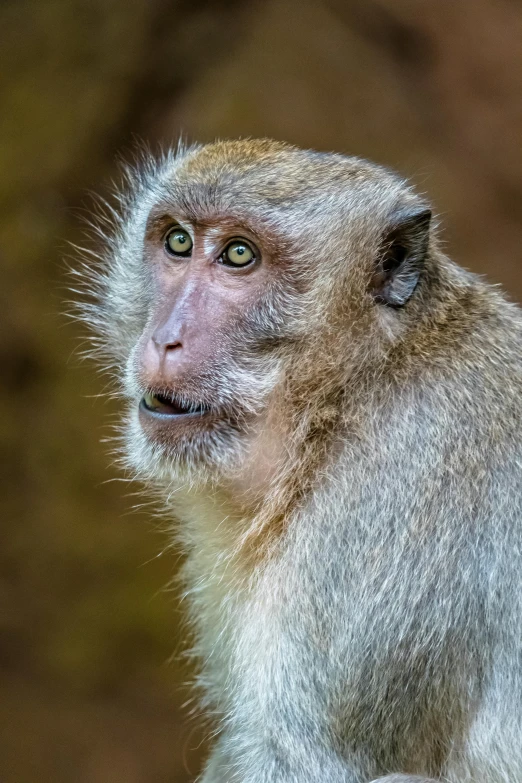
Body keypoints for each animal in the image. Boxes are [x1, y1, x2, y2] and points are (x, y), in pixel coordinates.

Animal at [79, 138, 520, 780]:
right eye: (179, 242)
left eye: (239, 255)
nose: (164, 339)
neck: (351, 392)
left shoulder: (380, 511)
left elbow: (301, 759)